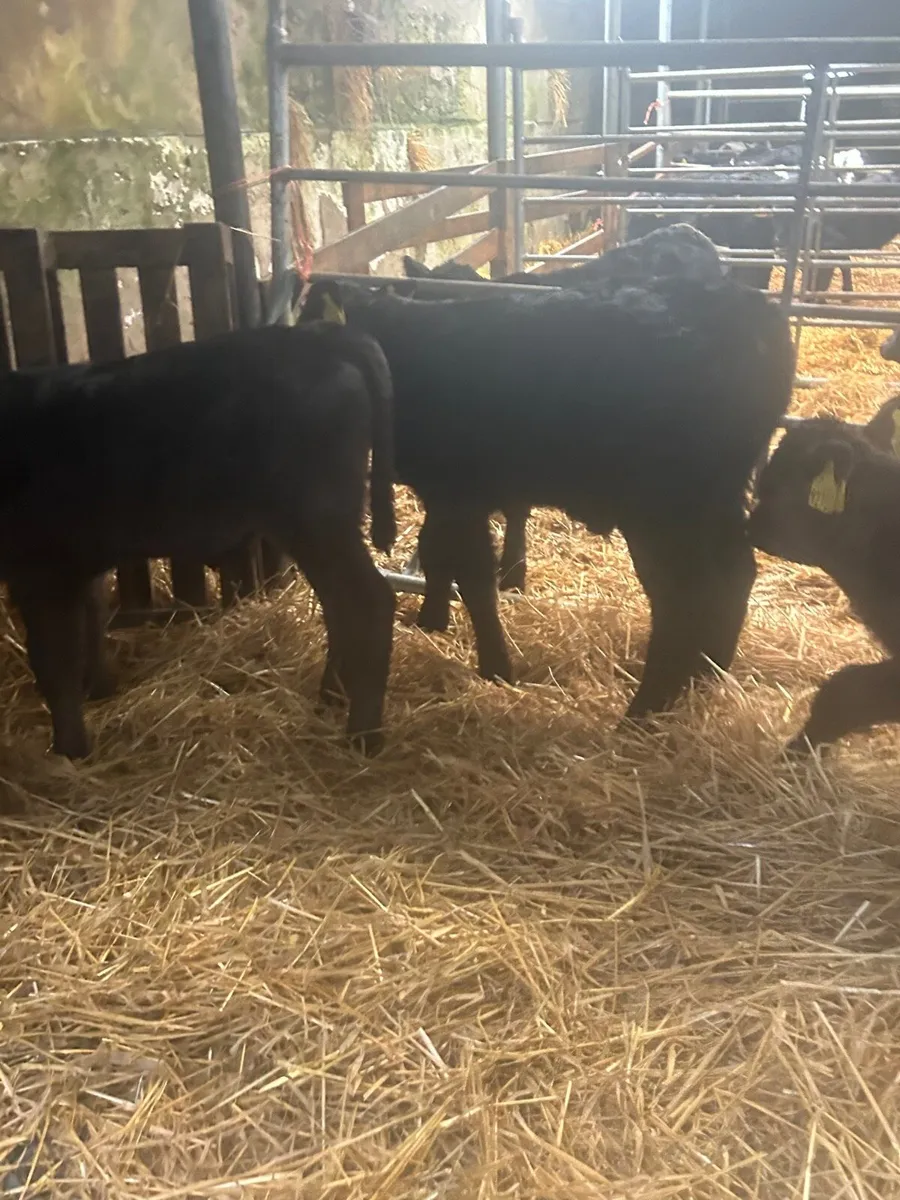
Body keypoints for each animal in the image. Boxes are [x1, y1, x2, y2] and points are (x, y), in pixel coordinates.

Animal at [0, 321, 397, 759]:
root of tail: (324, 333)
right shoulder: (78, 567)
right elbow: (91, 626)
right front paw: (99, 692)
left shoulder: (41, 570)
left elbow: (54, 662)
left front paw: (69, 749)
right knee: (339, 606)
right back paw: (331, 697)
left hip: (316, 518)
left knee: (369, 601)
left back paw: (363, 734)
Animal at [302, 274, 794, 727]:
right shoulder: (447, 495)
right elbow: (438, 554)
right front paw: (432, 622)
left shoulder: (459, 492)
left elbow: (475, 579)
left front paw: (496, 668)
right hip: (715, 502)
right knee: (735, 576)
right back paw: (707, 675)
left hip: (666, 510)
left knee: (685, 596)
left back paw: (643, 711)